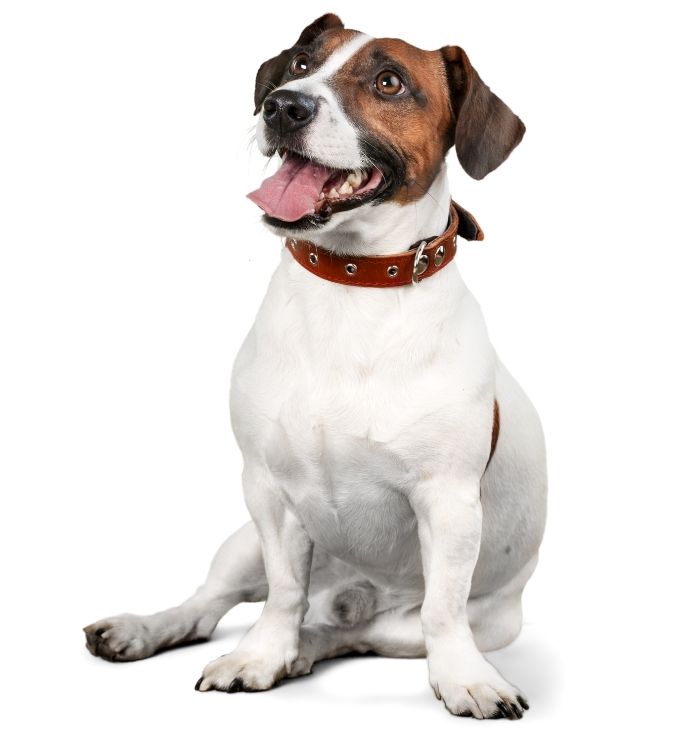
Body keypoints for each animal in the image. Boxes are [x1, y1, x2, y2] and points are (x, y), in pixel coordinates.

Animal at [85, 13, 548, 716]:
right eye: (301, 63)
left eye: (389, 82)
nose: (283, 105)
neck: (353, 283)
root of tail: (352, 594)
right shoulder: (267, 493)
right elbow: (283, 592)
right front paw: (258, 657)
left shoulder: (448, 502)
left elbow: (443, 610)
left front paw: (467, 680)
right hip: (241, 544)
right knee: (213, 603)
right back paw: (145, 628)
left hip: (439, 622)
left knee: (351, 631)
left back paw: (309, 647)